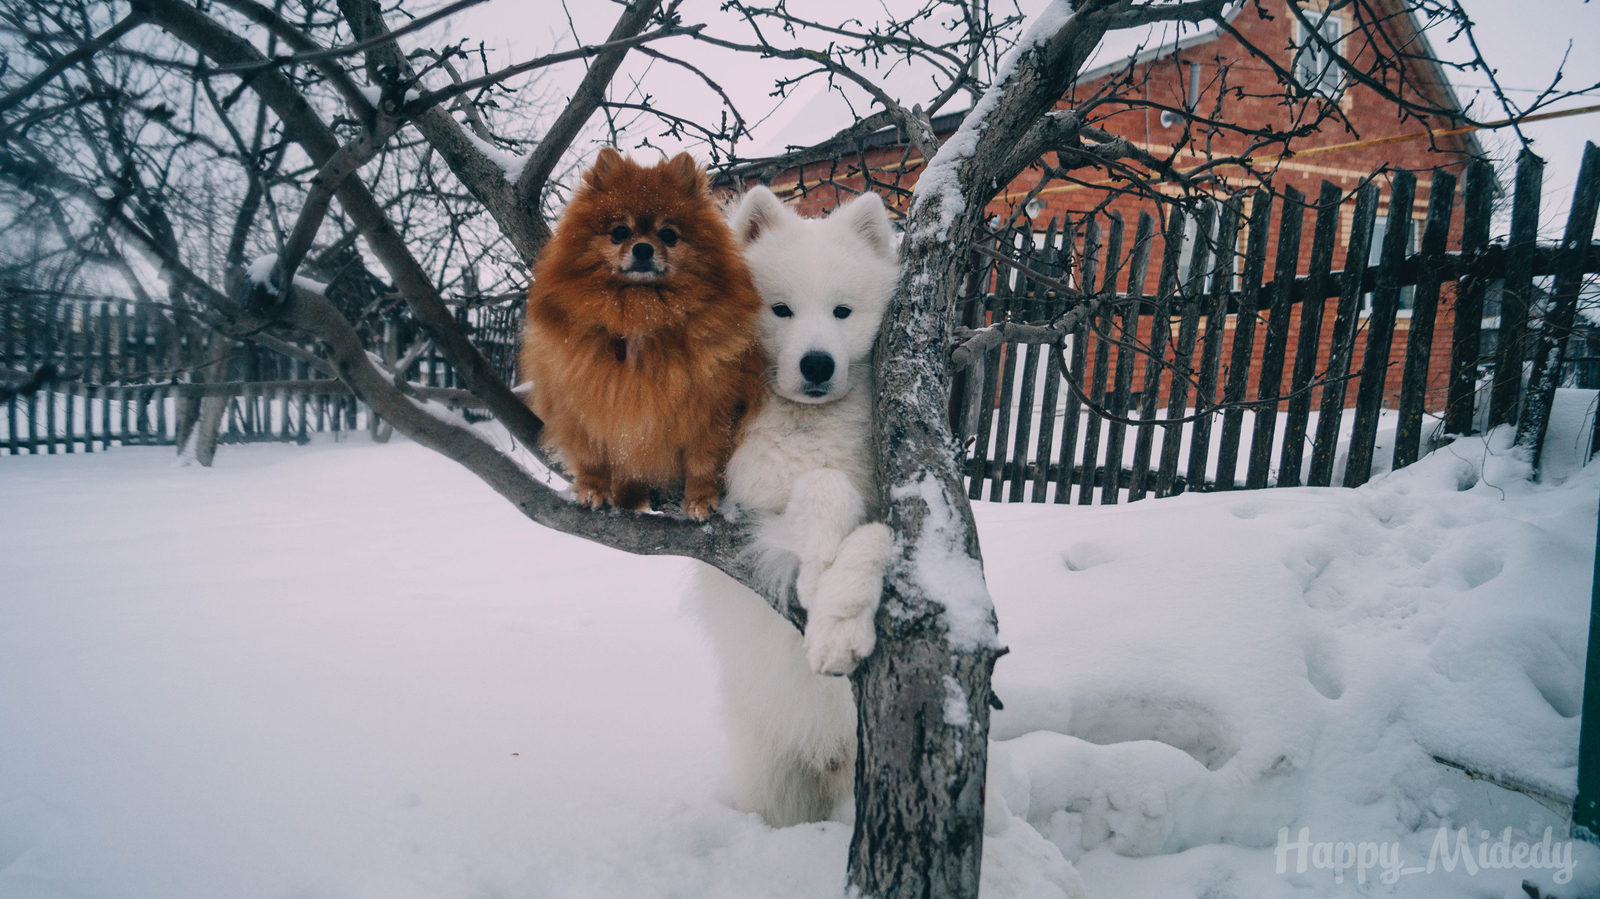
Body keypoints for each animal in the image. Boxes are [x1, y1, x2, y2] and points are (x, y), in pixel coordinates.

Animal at [512, 148, 761, 518]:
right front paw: (592, 489)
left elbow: (702, 462)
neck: (640, 315)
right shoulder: (580, 404)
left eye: (668, 234)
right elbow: (591, 456)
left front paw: (700, 499)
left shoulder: (713, 409)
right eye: (619, 232)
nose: (642, 248)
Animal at [691, 185, 902, 825]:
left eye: (842, 312)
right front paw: (817, 566)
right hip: (774, 786)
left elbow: (873, 536)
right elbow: (822, 490)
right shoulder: (752, 510)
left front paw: (837, 621)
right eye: (780, 310)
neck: (810, 428)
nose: (817, 364)